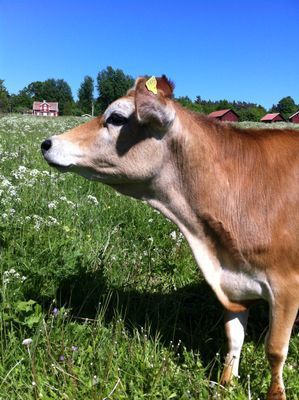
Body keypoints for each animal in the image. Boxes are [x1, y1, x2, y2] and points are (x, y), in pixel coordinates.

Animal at [42, 76, 299, 398]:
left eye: (116, 118)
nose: (47, 143)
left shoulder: (286, 285)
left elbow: (275, 350)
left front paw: (275, 393)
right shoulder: (232, 283)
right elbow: (234, 339)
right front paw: (225, 383)